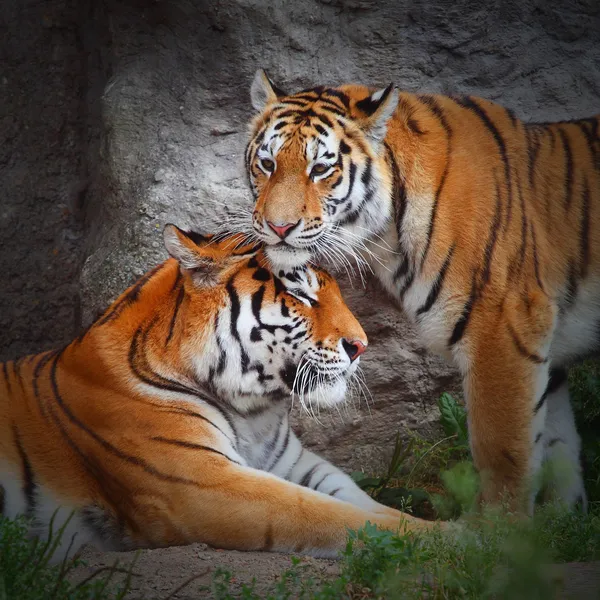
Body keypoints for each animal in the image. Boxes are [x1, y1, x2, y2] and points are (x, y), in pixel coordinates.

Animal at [0, 225, 436, 564]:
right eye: (301, 295)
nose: (361, 345)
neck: (256, 414)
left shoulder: (296, 465)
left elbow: (364, 503)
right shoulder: (205, 485)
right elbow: (332, 515)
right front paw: (447, 539)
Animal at [245, 69, 600, 510]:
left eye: (321, 169)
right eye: (267, 163)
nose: (278, 227)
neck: (386, 237)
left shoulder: (504, 329)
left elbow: (505, 454)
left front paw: (500, 526)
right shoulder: (545, 352)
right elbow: (557, 451)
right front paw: (559, 521)